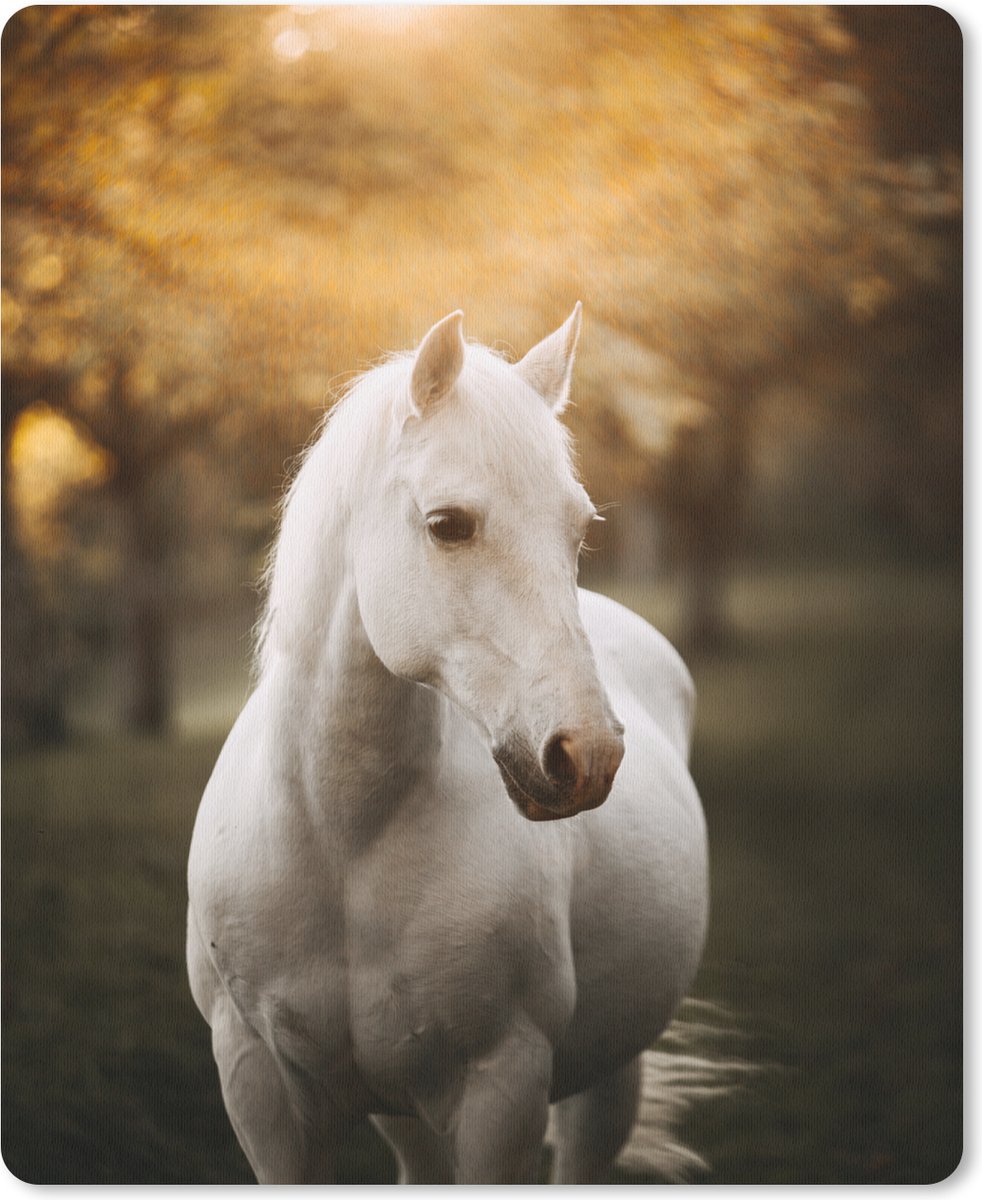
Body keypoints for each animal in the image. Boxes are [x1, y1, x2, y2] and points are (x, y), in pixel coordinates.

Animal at [186, 305, 709, 1183]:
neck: (343, 839)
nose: (587, 755)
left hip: (607, 1077)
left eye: (579, 528)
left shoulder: (503, 1089)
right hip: (404, 1110)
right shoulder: (258, 1084)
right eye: (448, 526)